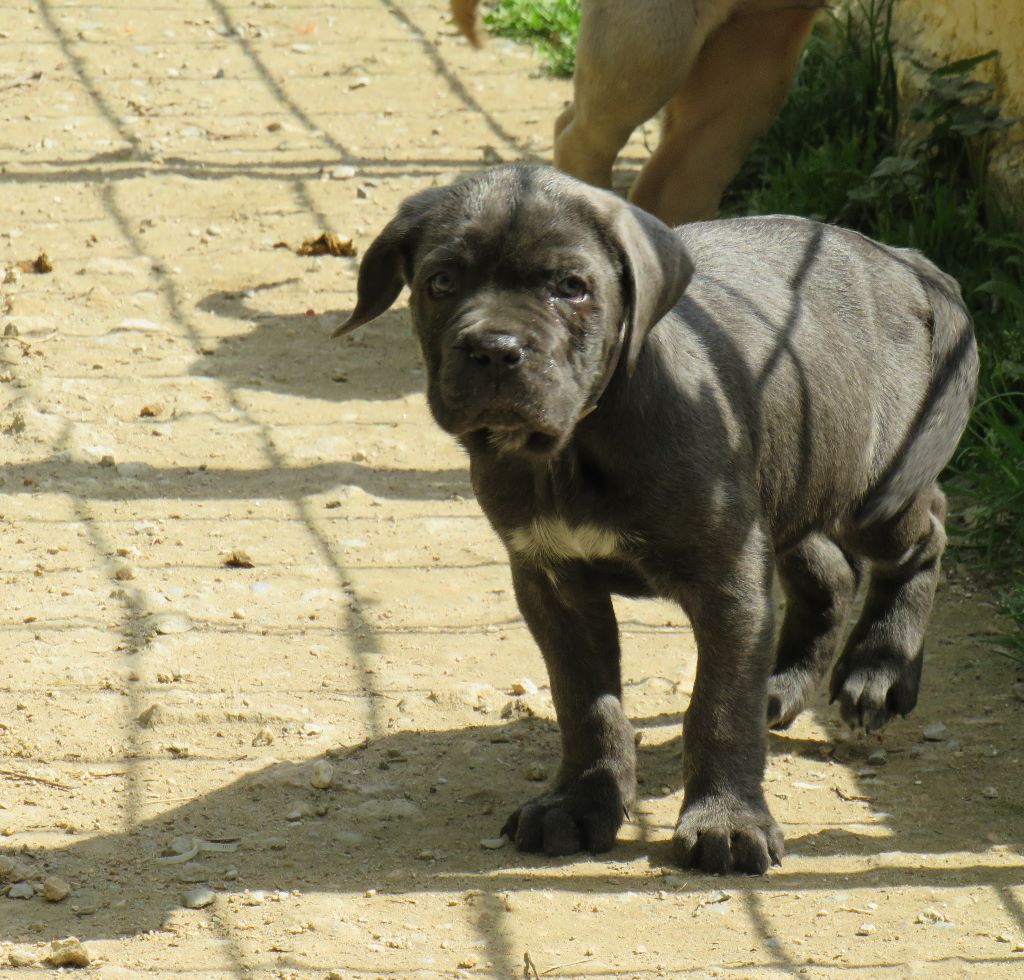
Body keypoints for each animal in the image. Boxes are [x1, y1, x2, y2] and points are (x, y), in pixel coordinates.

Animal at [333, 164, 974, 876]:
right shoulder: (553, 583)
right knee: (829, 573)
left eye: (572, 287)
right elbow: (587, 705)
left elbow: (717, 708)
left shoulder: (728, 580)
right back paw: (785, 682)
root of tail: (901, 259)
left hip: (875, 484)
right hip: (798, 478)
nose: (495, 350)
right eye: (441, 282)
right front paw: (578, 804)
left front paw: (727, 821)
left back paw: (879, 670)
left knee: (925, 534)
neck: (572, 451)